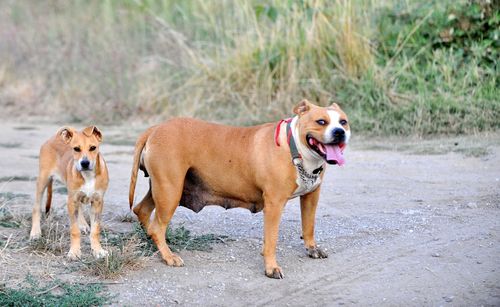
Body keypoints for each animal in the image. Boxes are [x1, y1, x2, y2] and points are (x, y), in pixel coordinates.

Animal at [30, 127, 108, 260]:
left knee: (80, 207)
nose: (85, 163)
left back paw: (83, 224)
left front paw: (98, 250)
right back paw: (35, 232)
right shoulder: (71, 201)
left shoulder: (97, 202)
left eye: (93, 147)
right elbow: (74, 230)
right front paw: (75, 252)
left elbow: (95, 230)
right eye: (76, 149)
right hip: (43, 180)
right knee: (36, 207)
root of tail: (51, 138)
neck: (88, 176)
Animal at [129, 100, 350, 280]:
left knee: (142, 211)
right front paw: (271, 267)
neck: (295, 149)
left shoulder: (311, 197)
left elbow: (308, 226)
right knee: (157, 226)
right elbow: (272, 239)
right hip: (170, 191)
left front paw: (312, 249)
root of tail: (155, 128)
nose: (339, 132)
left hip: (163, 189)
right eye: (321, 121)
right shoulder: (274, 204)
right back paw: (168, 256)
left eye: (343, 122)